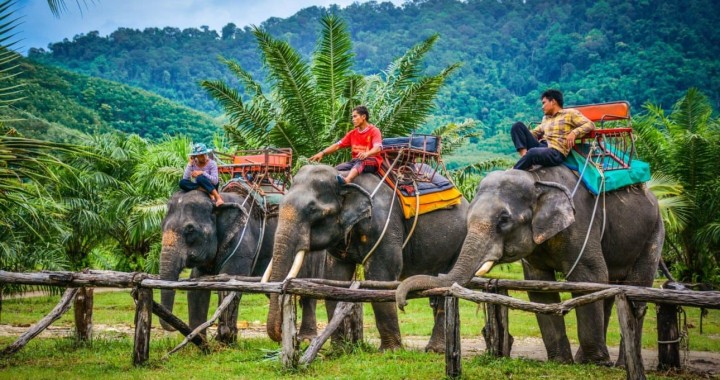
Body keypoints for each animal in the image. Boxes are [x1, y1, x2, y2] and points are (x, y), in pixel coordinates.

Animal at [162, 190, 324, 342]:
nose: (172, 325)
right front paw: (199, 343)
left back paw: (306, 338)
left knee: (308, 292)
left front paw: (225, 340)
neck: (220, 199)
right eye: (161, 226)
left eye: (190, 229)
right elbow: (196, 289)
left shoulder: (243, 244)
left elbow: (230, 284)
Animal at [262, 165, 470, 352]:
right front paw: (338, 351)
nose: (285, 337)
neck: (344, 178)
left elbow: (379, 278)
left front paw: (391, 352)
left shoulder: (383, 227)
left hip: (458, 243)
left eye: (313, 210)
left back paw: (435, 350)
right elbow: (335, 280)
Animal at [396, 166, 668, 366]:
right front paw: (560, 361)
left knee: (636, 292)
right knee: (611, 292)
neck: (538, 180)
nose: (403, 304)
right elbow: (539, 287)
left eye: (504, 220)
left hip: (654, 232)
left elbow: (589, 275)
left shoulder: (580, 224)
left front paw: (593, 363)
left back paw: (619, 364)